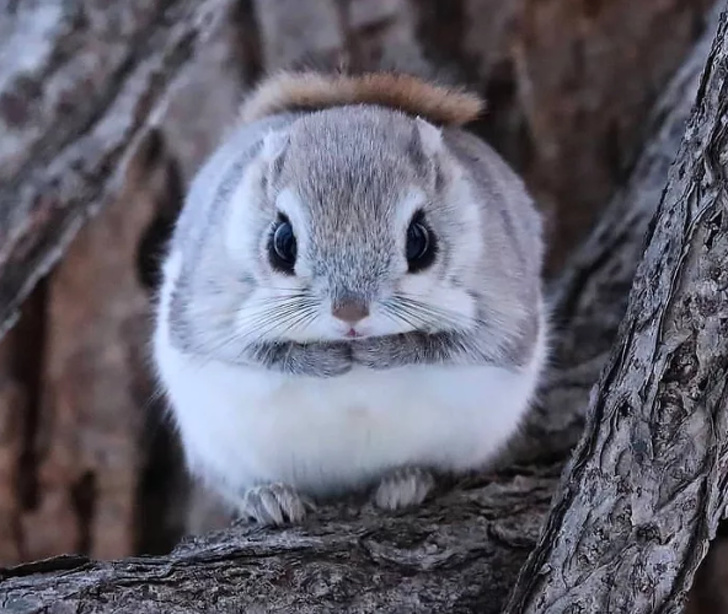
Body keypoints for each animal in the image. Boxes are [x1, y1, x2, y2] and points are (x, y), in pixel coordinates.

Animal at [155, 70, 552, 528]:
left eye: (420, 241)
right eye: (281, 242)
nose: (350, 313)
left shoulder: (501, 310)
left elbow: (453, 345)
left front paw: (383, 352)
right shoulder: (209, 309)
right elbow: (256, 352)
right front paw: (325, 359)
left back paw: (407, 482)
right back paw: (268, 498)